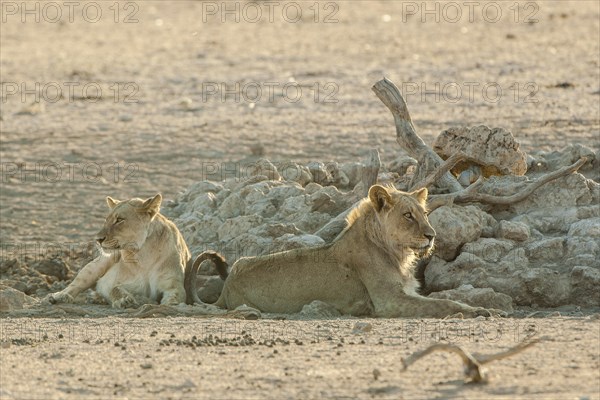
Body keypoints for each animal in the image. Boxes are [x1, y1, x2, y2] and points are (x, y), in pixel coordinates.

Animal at [47, 195, 227, 308]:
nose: (98, 239)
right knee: (76, 284)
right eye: (106, 220)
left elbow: (175, 296)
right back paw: (58, 296)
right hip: (97, 266)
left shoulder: (173, 285)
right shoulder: (116, 282)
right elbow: (114, 289)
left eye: (119, 220)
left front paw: (168, 304)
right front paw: (125, 301)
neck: (143, 253)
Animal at [199, 185, 500, 318]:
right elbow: (442, 303)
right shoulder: (389, 302)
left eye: (425, 214)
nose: (432, 235)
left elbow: (443, 297)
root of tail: (228, 284)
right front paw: (480, 311)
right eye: (407, 215)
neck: (397, 254)